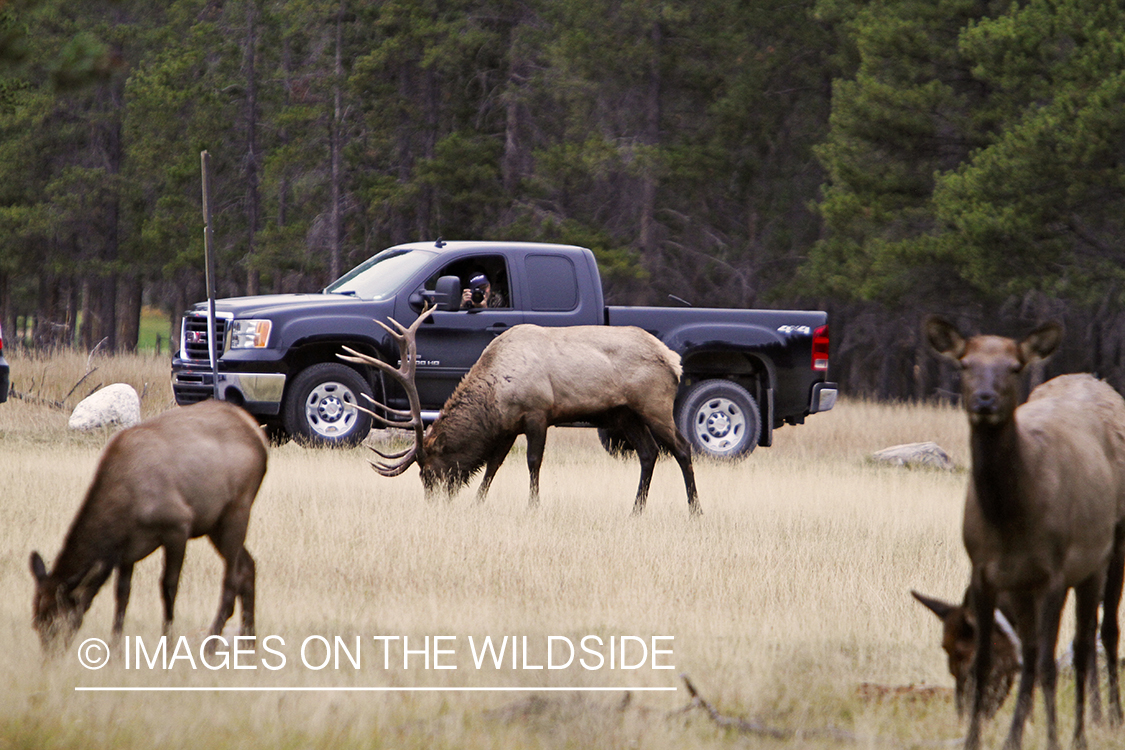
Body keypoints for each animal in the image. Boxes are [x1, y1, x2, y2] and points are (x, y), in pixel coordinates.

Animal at [29, 402, 267, 652]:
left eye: (57, 622)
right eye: (36, 622)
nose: (50, 657)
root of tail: (257, 433)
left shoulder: (178, 527)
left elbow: (168, 588)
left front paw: (168, 646)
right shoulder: (126, 550)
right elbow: (122, 594)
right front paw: (114, 649)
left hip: (237, 510)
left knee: (230, 582)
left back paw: (211, 646)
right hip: (215, 524)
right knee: (248, 566)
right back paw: (249, 645)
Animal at [337, 308, 697, 512]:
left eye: (428, 472)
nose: (433, 504)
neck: (496, 395)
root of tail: (674, 361)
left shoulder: (537, 413)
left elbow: (533, 462)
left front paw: (533, 507)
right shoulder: (508, 426)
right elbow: (493, 465)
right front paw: (478, 503)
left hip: (654, 404)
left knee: (682, 447)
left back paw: (695, 509)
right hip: (624, 414)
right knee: (649, 452)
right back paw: (636, 509)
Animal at [922, 317, 1125, 750]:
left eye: (1015, 367)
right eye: (963, 364)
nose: (984, 400)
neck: (1011, 523)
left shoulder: (1052, 575)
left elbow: (1047, 663)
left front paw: (1050, 737)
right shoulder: (990, 574)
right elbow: (1022, 657)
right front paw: (995, 737)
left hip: (1108, 549)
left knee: (1100, 634)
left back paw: (1102, 721)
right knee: (1080, 640)